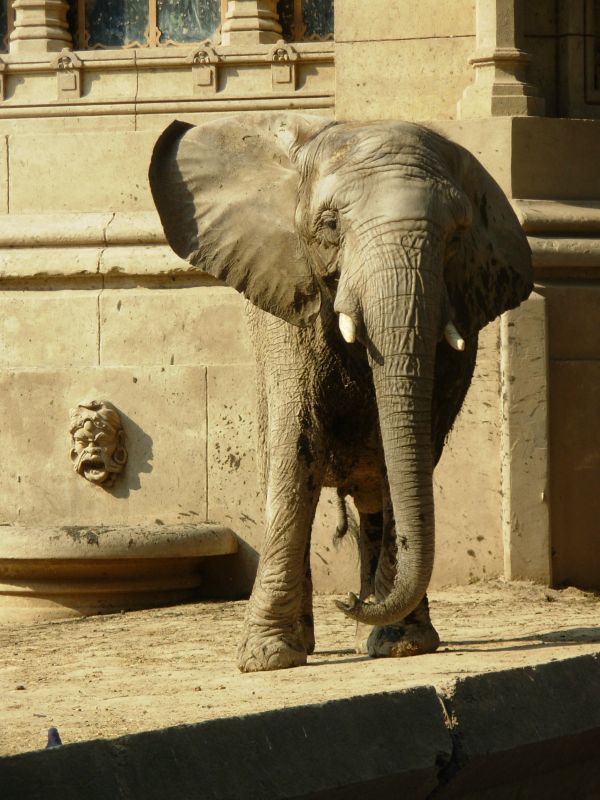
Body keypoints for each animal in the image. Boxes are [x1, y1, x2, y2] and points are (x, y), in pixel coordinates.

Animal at [148, 112, 532, 672]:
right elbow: (297, 445)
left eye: (458, 234)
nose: (347, 601)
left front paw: (403, 644)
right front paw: (268, 659)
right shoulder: (287, 300)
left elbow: (411, 452)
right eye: (330, 224)